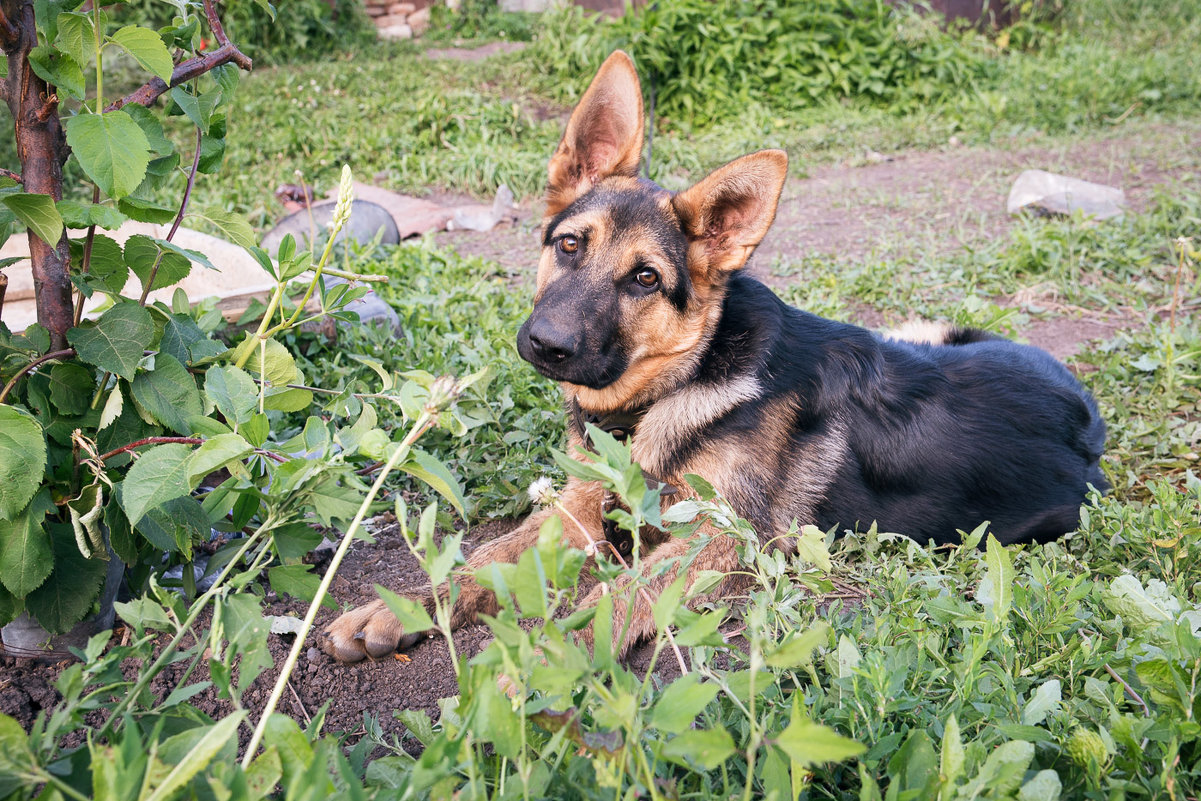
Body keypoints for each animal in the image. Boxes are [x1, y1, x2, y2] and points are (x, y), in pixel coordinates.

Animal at [321, 51, 1104, 662]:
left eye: (645, 279)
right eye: (569, 244)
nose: (547, 345)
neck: (667, 391)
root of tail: (1085, 414)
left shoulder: (722, 539)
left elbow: (617, 593)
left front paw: (546, 663)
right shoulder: (573, 511)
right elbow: (483, 558)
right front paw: (399, 607)